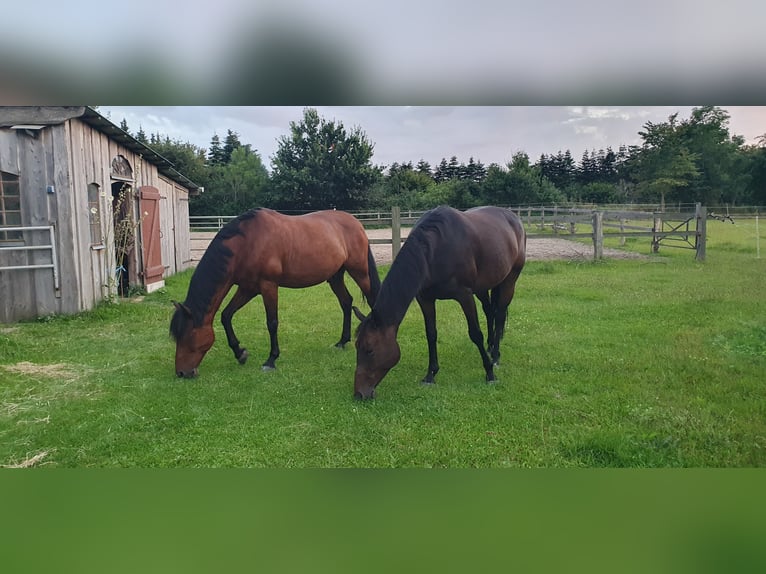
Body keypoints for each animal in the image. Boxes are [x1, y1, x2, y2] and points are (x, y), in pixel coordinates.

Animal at [170, 209, 380, 380]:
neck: (247, 242)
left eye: (187, 337)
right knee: (346, 302)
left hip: (360, 272)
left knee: (372, 300)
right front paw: (240, 353)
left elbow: (272, 323)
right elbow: (226, 315)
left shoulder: (268, 286)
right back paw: (342, 342)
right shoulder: (247, 288)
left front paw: (270, 360)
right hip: (335, 276)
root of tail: (356, 223)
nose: (181, 373)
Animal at [354, 206, 528, 400]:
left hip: (509, 280)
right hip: (482, 287)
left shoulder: (464, 296)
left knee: (499, 315)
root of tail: (513, 217)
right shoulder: (426, 299)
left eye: (369, 350)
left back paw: (496, 356)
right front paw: (431, 374)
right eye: (356, 347)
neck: (435, 250)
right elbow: (431, 334)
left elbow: (475, 333)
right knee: (490, 311)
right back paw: (490, 348)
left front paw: (489, 373)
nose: (359, 393)